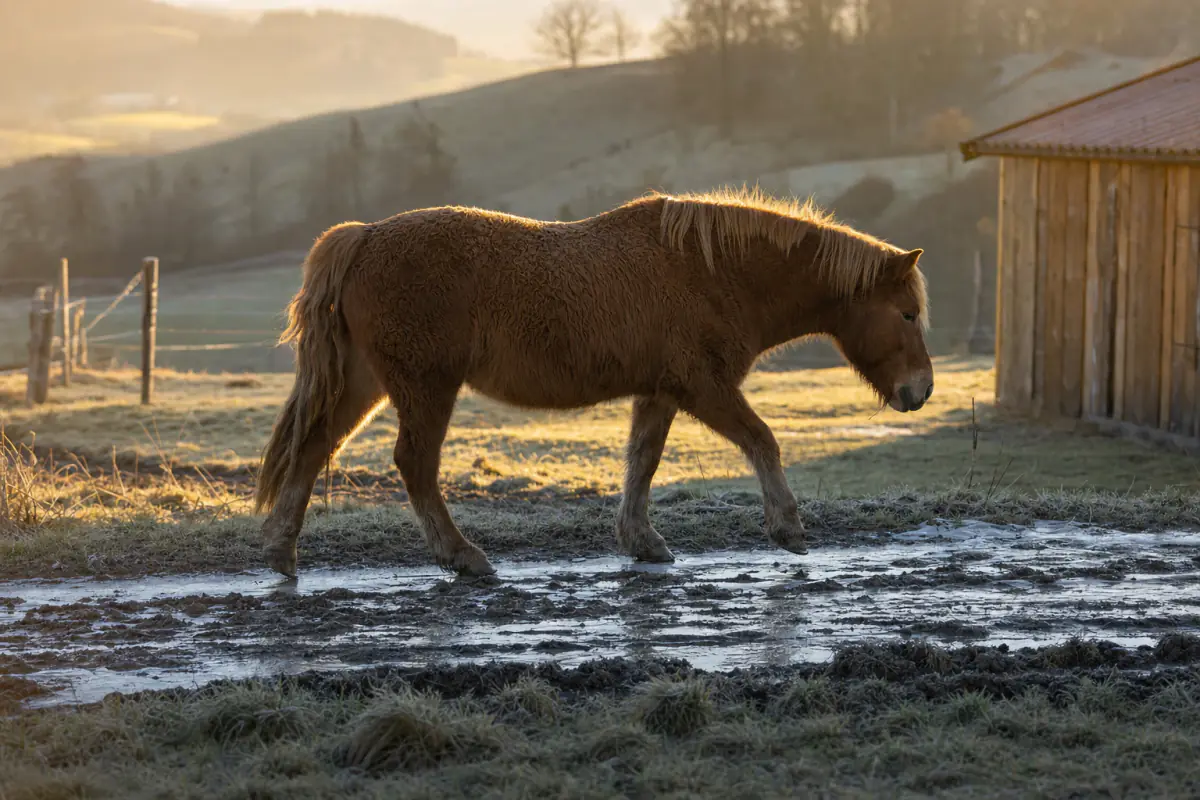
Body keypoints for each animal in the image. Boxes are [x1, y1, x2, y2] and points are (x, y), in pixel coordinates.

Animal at [254, 186, 933, 579]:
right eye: (907, 313)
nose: (920, 391)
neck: (714, 271)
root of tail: (364, 237)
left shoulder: (660, 392)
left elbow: (643, 462)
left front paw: (642, 540)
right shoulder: (705, 388)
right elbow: (763, 440)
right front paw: (787, 528)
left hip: (366, 382)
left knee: (314, 448)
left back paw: (283, 553)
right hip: (425, 386)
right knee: (413, 464)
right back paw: (462, 556)